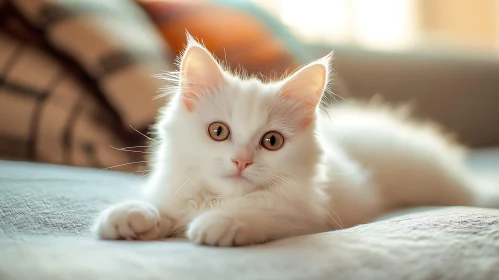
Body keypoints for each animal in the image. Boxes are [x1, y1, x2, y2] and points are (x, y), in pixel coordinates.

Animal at [94, 34, 499, 245]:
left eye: (272, 142)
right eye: (218, 132)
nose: (241, 161)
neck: (220, 197)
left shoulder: (303, 216)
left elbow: (259, 214)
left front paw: (220, 223)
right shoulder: (174, 190)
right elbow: (160, 206)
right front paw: (128, 215)